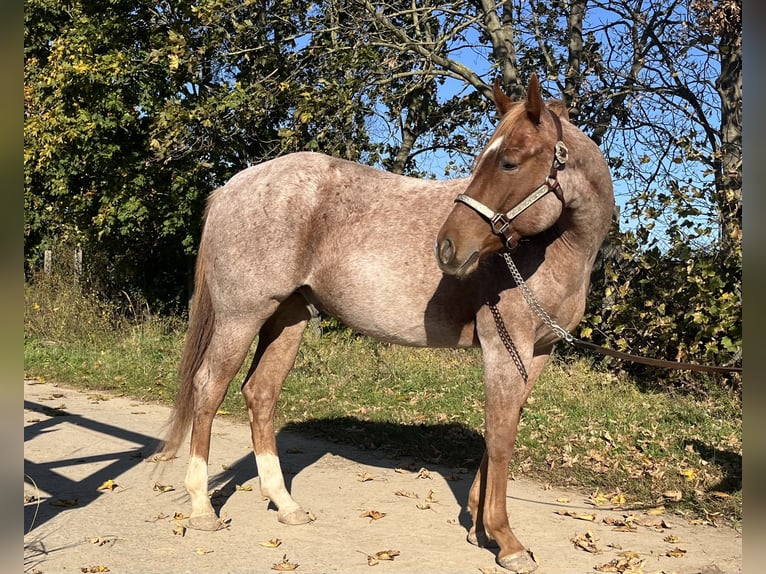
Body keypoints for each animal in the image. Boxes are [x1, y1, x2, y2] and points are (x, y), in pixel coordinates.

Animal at [159, 74, 616, 572]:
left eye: (509, 162)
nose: (448, 247)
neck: (554, 250)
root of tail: (232, 187)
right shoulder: (504, 346)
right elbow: (500, 437)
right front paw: (506, 540)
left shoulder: (536, 353)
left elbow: (504, 427)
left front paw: (478, 528)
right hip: (241, 317)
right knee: (208, 389)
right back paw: (202, 509)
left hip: (289, 318)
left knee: (259, 393)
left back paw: (285, 504)